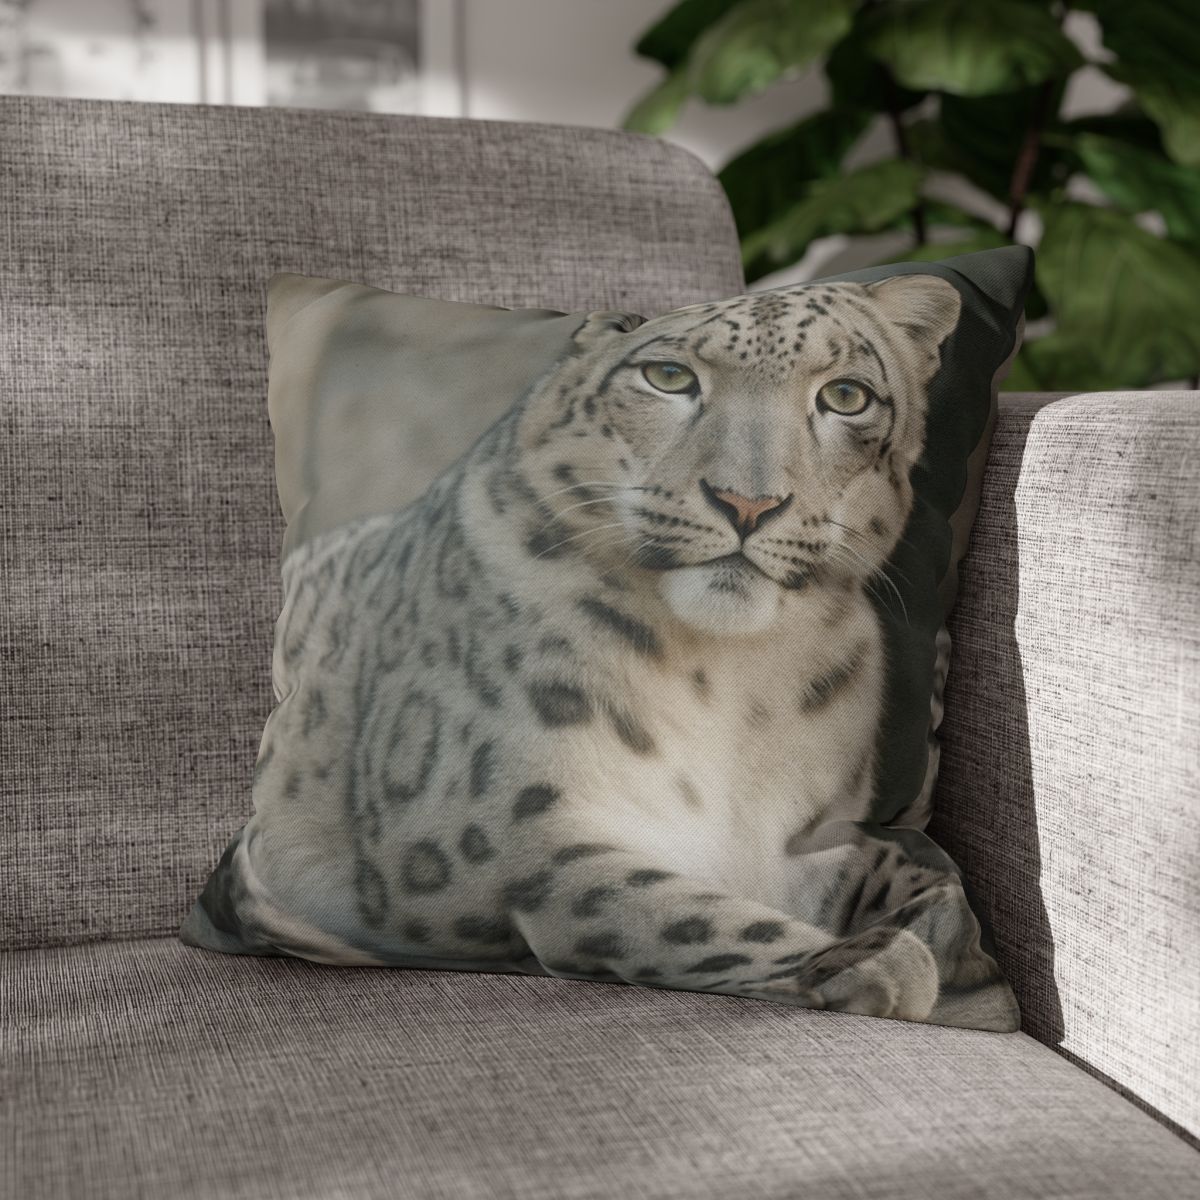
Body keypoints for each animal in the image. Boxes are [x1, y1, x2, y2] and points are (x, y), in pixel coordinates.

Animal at [181, 274, 1020, 1032]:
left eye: (846, 396)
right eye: (669, 376)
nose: (747, 503)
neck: (736, 680)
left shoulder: (797, 838)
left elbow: (911, 873)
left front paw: (931, 931)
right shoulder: (502, 835)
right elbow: (673, 909)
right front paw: (871, 959)